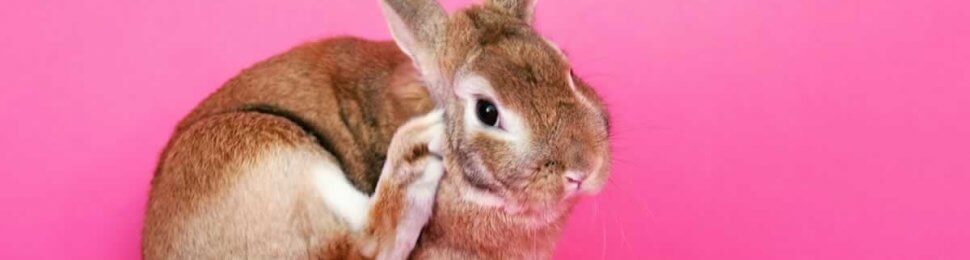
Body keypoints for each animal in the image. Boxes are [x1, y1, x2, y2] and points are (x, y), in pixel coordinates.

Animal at [140, 0, 608, 258]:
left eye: (568, 70)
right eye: (487, 111)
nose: (583, 168)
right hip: (262, 146)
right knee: (363, 246)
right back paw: (415, 149)